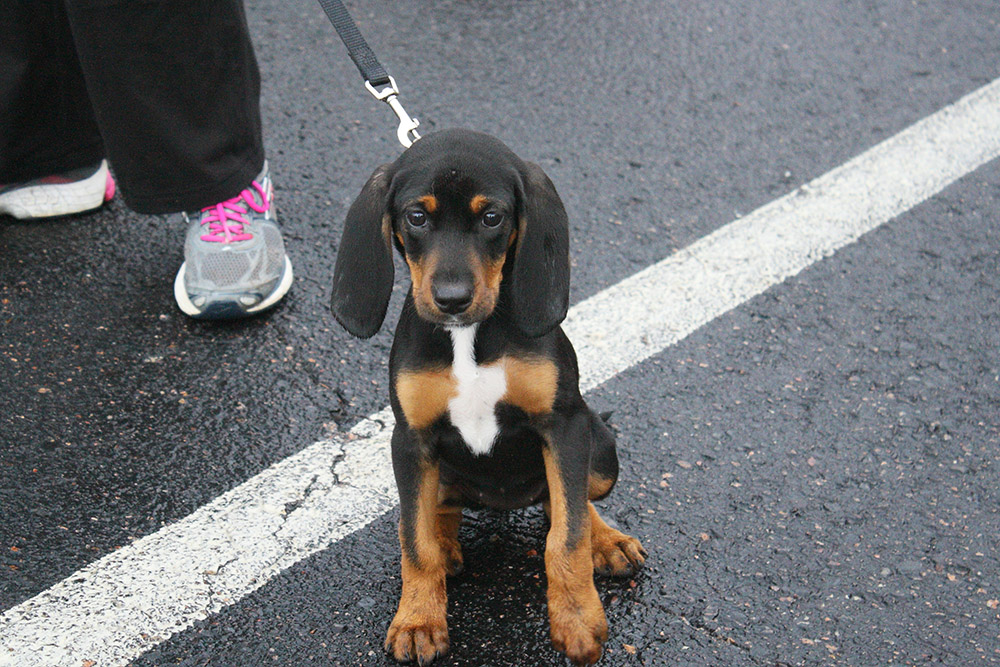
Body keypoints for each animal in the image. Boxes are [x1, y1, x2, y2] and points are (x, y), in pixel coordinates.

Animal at [332, 128, 644, 664]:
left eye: (492, 217)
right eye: (416, 216)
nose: (452, 299)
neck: (468, 338)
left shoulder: (564, 426)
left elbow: (567, 535)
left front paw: (577, 619)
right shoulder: (409, 439)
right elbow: (414, 541)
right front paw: (418, 621)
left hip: (601, 446)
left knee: (568, 501)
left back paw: (607, 542)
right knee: (438, 510)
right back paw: (447, 545)